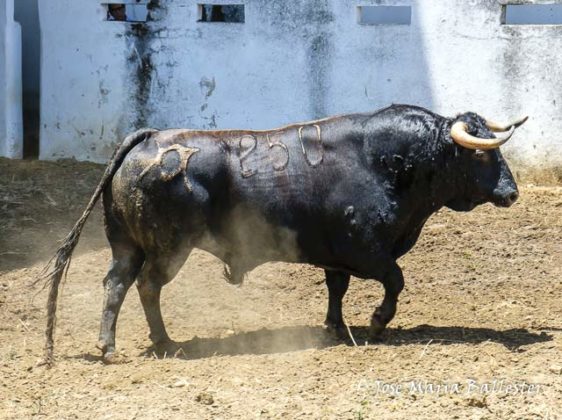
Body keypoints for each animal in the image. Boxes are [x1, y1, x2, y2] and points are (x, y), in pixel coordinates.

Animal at [40, 105, 524, 364]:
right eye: (482, 157)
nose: (512, 192)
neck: (390, 162)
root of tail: (149, 138)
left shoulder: (337, 254)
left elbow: (336, 288)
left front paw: (335, 326)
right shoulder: (367, 250)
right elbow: (396, 280)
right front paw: (376, 322)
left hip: (126, 245)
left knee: (116, 285)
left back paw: (109, 346)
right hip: (167, 249)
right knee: (146, 286)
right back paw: (163, 341)